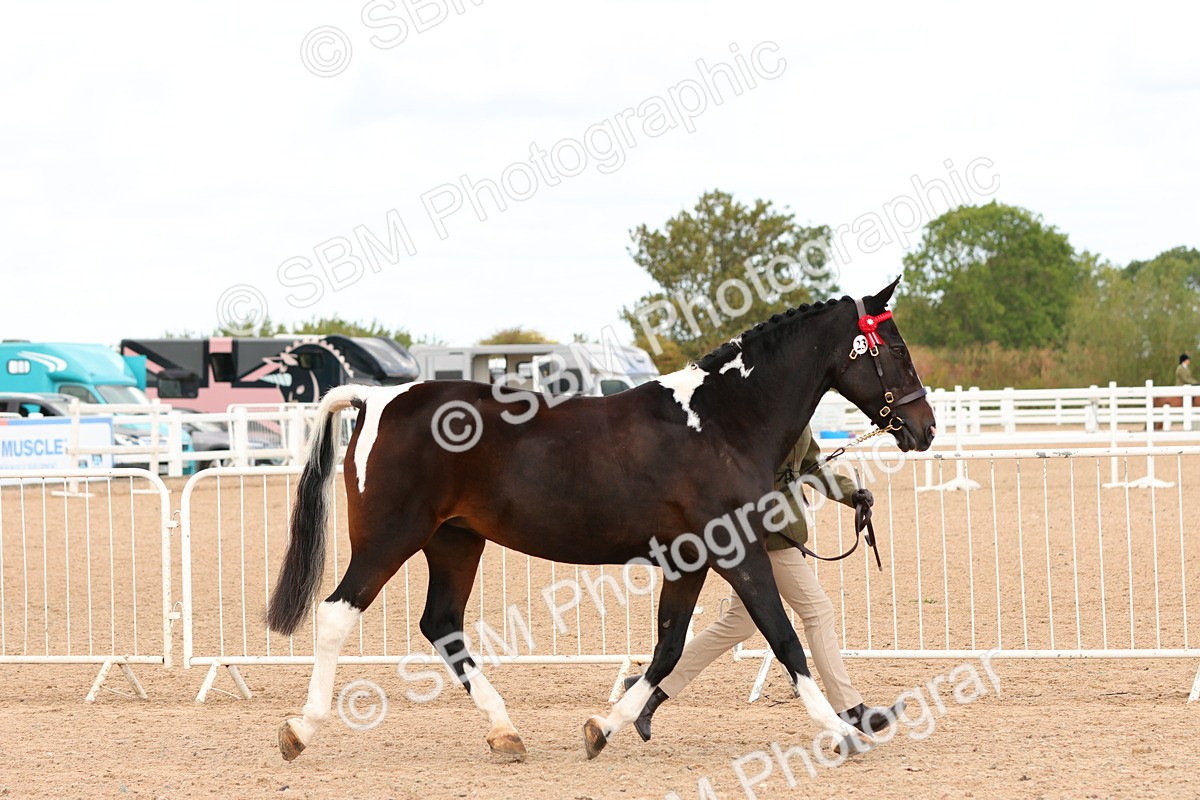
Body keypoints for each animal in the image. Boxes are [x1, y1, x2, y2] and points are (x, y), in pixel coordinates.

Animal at [265, 278, 936, 762]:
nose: (924, 428)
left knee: (443, 625)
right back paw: (301, 730)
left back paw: (506, 733)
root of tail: (377, 398)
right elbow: (784, 637)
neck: (721, 422)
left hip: (455, 542)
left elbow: (669, 647)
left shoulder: (690, 559)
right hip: (390, 539)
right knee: (337, 614)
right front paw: (842, 734)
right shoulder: (737, 552)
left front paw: (603, 727)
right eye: (897, 350)